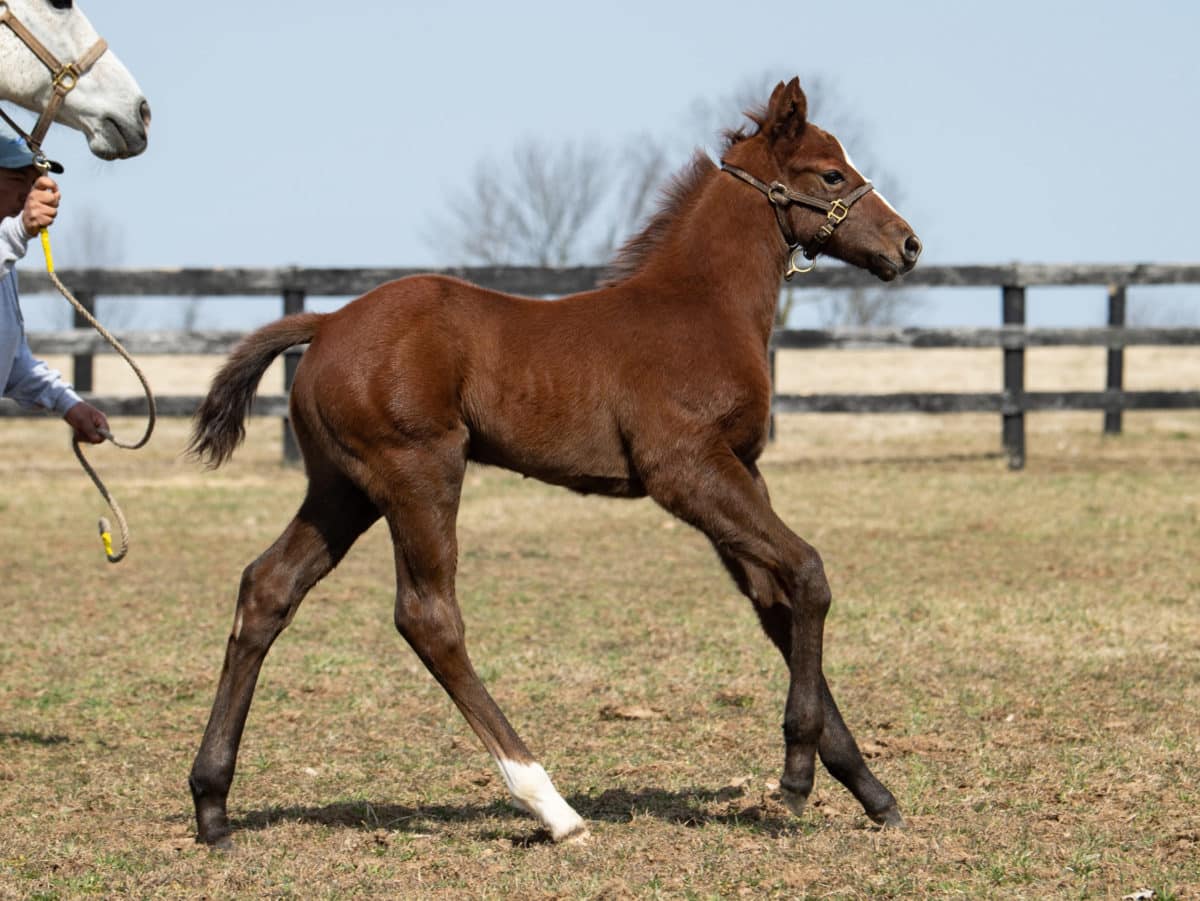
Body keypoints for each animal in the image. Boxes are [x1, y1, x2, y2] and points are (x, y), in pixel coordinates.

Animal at [187, 77, 921, 844]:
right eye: (831, 173)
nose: (909, 244)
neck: (700, 308)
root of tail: (326, 322)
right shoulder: (685, 470)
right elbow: (809, 572)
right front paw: (797, 774)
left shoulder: (741, 468)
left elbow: (775, 603)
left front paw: (870, 788)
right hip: (418, 473)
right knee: (428, 616)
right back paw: (552, 805)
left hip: (342, 490)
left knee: (268, 588)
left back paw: (212, 803)